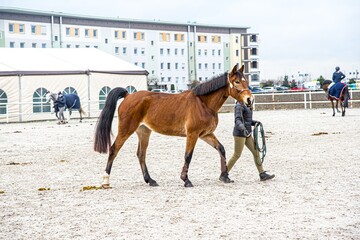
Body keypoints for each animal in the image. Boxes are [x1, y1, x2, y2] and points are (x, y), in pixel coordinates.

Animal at [93, 63, 253, 188]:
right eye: (237, 82)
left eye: (246, 80)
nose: (249, 99)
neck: (203, 103)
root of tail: (128, 95)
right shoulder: (192, 134)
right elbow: (188, 155)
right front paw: (186, 180)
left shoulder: (206, 134)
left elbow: (221, 149)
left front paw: (225, 176)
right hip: (126, 130)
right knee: (114, 149)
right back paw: (105, 181)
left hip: (144, 132)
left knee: (141, 154)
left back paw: (150, 180)